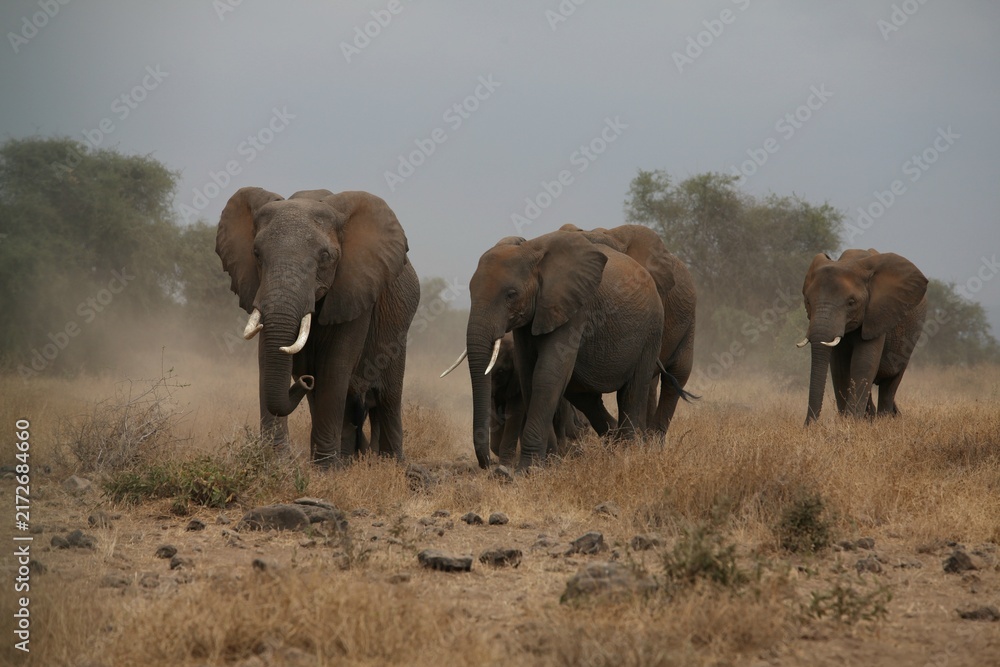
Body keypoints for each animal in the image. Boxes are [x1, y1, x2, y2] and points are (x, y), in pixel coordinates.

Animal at [216, 187, 419, 466]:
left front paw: (326, 469)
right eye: (256, 254)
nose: (305, 380)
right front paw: (274, 462)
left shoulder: (354, 289)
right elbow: (267, 359)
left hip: (398, 331)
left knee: (387, 397)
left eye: (325, 257)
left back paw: (390, 464)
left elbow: (335, 365)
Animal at [440, 332, 604, 466]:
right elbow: (495, 410)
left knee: (558, 419)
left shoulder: (518, 379)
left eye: (501, 371)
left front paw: (506, 463)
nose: (486, 464)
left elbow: (515, 412)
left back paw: (562, 450)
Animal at [466, 230, 663, 470]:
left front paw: (525, 469)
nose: (487, 465)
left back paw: (626, 454)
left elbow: (548, 374)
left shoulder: (574, 309)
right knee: (584, 397)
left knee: (633, 391)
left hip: (651, 331)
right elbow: (528, 375)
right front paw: (548, 462)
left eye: (511, 294)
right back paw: (613, 442)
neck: (532, 251)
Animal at [799, 248, 927, 425]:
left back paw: (883, 419)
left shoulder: (877, 315)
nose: (809, 426)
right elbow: (840, 367)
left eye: (851, 302)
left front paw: (851, 422)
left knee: (890, 384)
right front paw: (848, 421)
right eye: (808, 301)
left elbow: (863, 363)